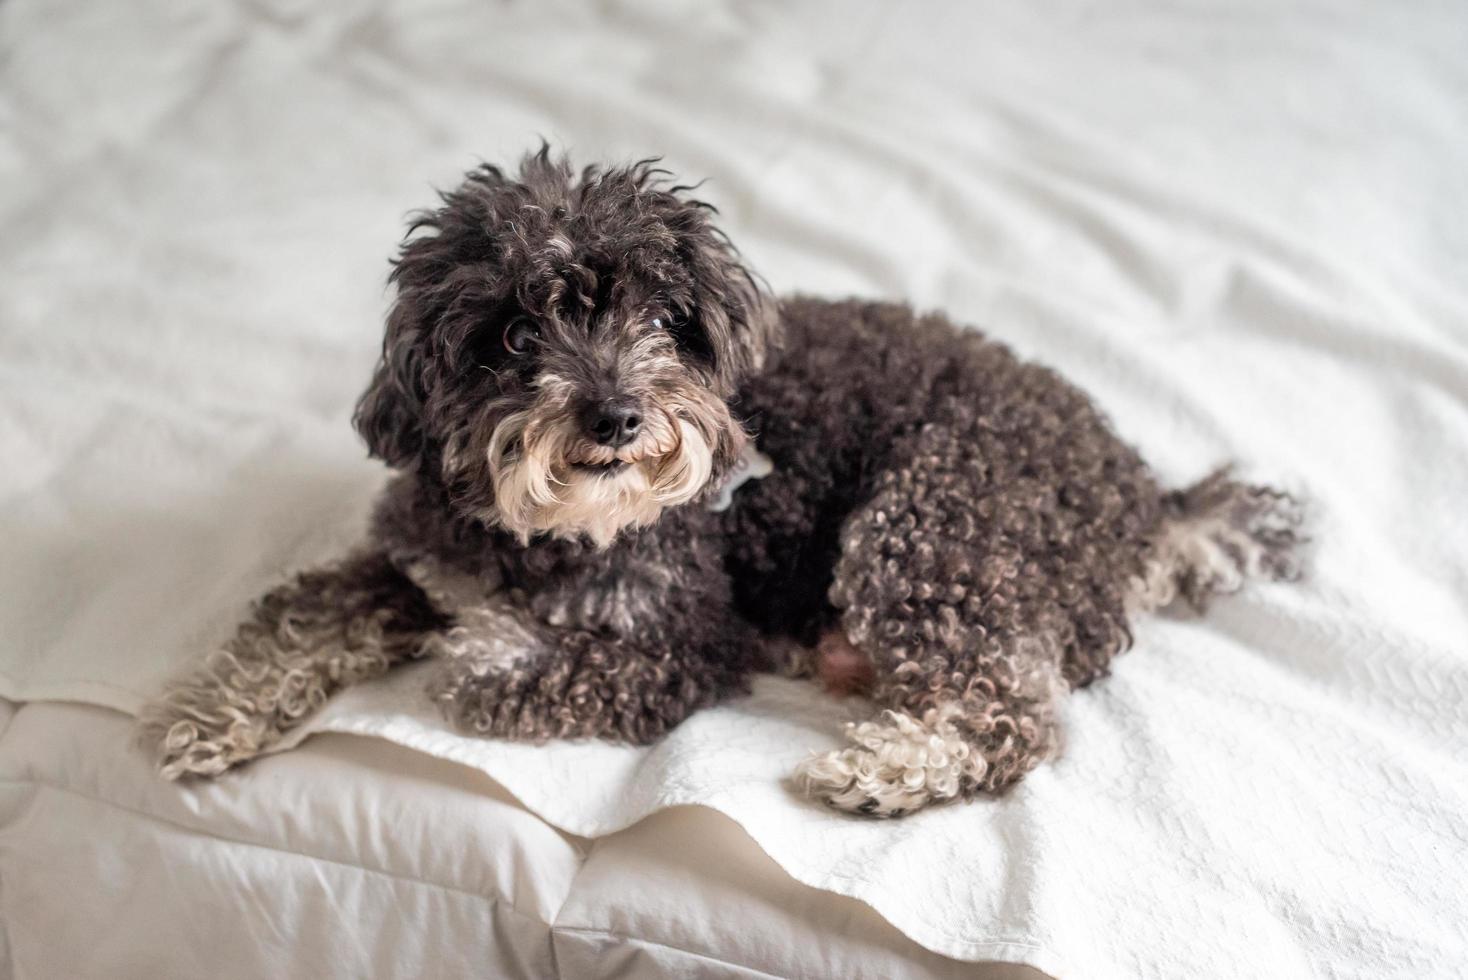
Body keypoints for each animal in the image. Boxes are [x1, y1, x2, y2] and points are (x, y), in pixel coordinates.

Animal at [137, 147, 1303, 821]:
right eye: (514, 332)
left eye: (662, 317)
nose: (616, 416)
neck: (551, 528)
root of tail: (1144, 498)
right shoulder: (408, 557)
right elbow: (301, 613)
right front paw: (201, 710)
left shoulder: (685, 642)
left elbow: (506, 667)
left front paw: (487, 641)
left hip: (934, 518)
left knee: (1011, 712)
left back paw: (884, 768)